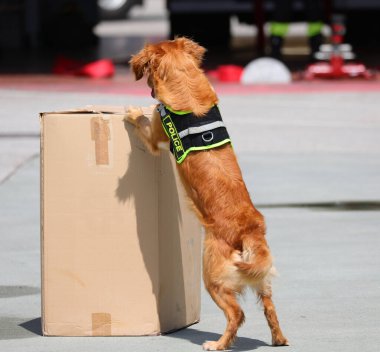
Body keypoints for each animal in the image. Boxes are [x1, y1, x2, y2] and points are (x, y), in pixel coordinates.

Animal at [126, 37, 290, 350]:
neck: (185, 82)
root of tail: (249, 230)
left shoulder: (155, 134)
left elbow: (144, 125)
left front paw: (132, 113)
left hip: (212, 276)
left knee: (236, 314)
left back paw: (218, 344)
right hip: (261, 280)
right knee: (270, 308)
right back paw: (279, 339)